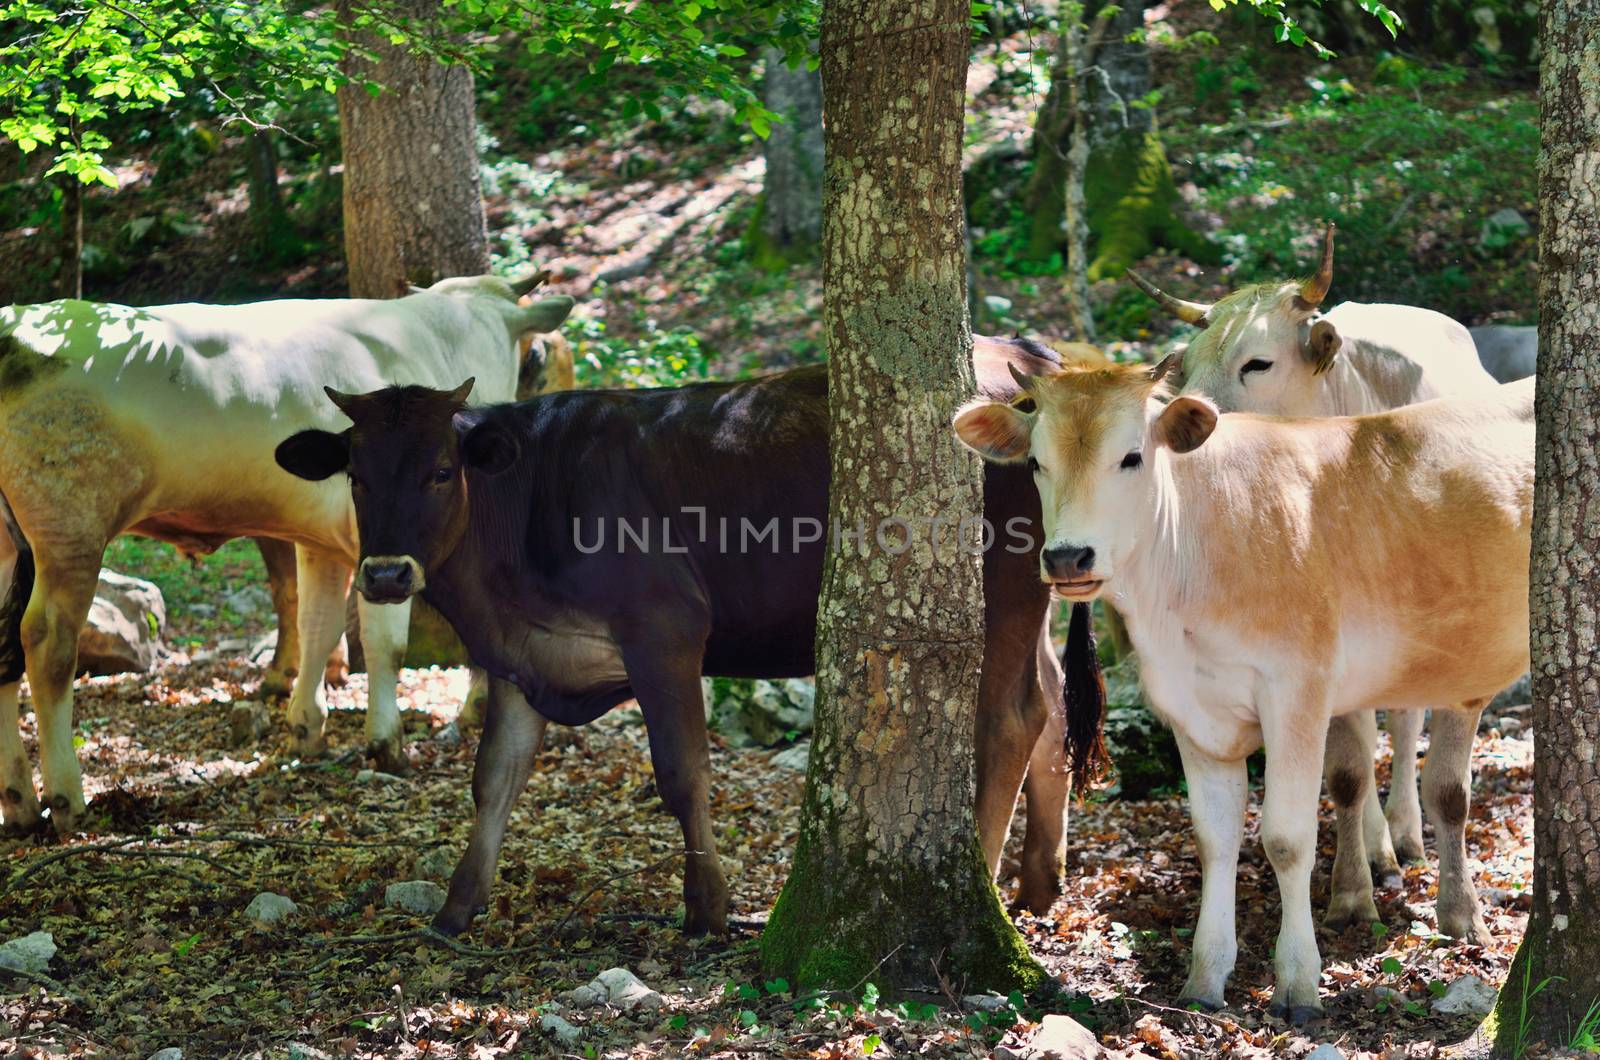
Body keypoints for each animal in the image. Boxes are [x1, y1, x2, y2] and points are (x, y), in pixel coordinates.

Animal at [0, 275, 576, 839]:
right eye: (542, 364)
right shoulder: (381, 549)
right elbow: (385, 644)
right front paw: (386, 743)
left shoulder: (322, 543)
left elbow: (317, 625)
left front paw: (306, 729)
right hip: (71, 528)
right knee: (48, 645)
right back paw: (66, 800)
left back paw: (20, 805)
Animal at [278, 336, 1088, 935]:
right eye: (354, 475)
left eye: (443, 471)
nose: (385, 573)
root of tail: (1031, 361)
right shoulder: (519, 658)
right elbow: (494, 778)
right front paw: (456, 906)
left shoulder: (664, 629)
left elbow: (682, 771)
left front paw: (707, 907)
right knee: (1053, 704)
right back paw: (1039, 885)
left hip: (1004, 590)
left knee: (1013, 718)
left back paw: (988, 877)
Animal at [953, 363, 1529, 1024]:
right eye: (1035, 463)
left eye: (1131, 456)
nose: (1069, 556)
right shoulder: (1191, 708)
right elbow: (1215, 837)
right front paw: (1205, 977)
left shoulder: (1297, 691)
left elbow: (1286, 838)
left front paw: (1298, 983)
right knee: (1431, 783)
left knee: (1444, 786)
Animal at [1126, 228, 1497, 935]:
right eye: (1187, 368)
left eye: (1258, 363)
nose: (1187, 423)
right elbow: (1347, 772)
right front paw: (1352, 893)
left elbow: (1442, 776)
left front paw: (1459, 907)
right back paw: (1379, 845)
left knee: (1403, 723)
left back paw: (1403, 832)